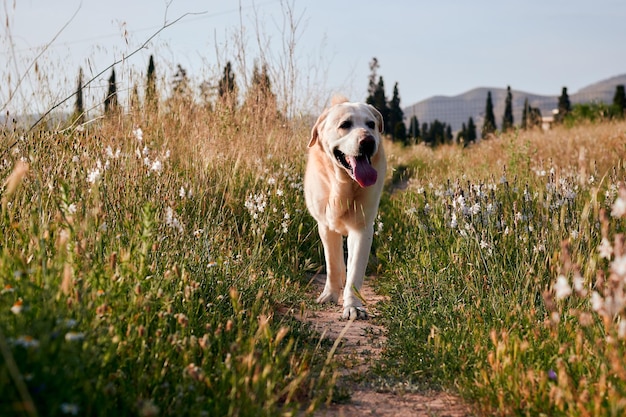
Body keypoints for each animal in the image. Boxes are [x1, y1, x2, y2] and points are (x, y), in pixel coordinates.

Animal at [304, 96, 386, 318]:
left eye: (371, 124)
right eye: (345, 125)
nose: (368, 141)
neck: (344, 186)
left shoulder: (362, 229)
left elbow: (355, 272)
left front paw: (353, 306)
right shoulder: (325, 227)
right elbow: (332, 264)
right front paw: (330, 295)